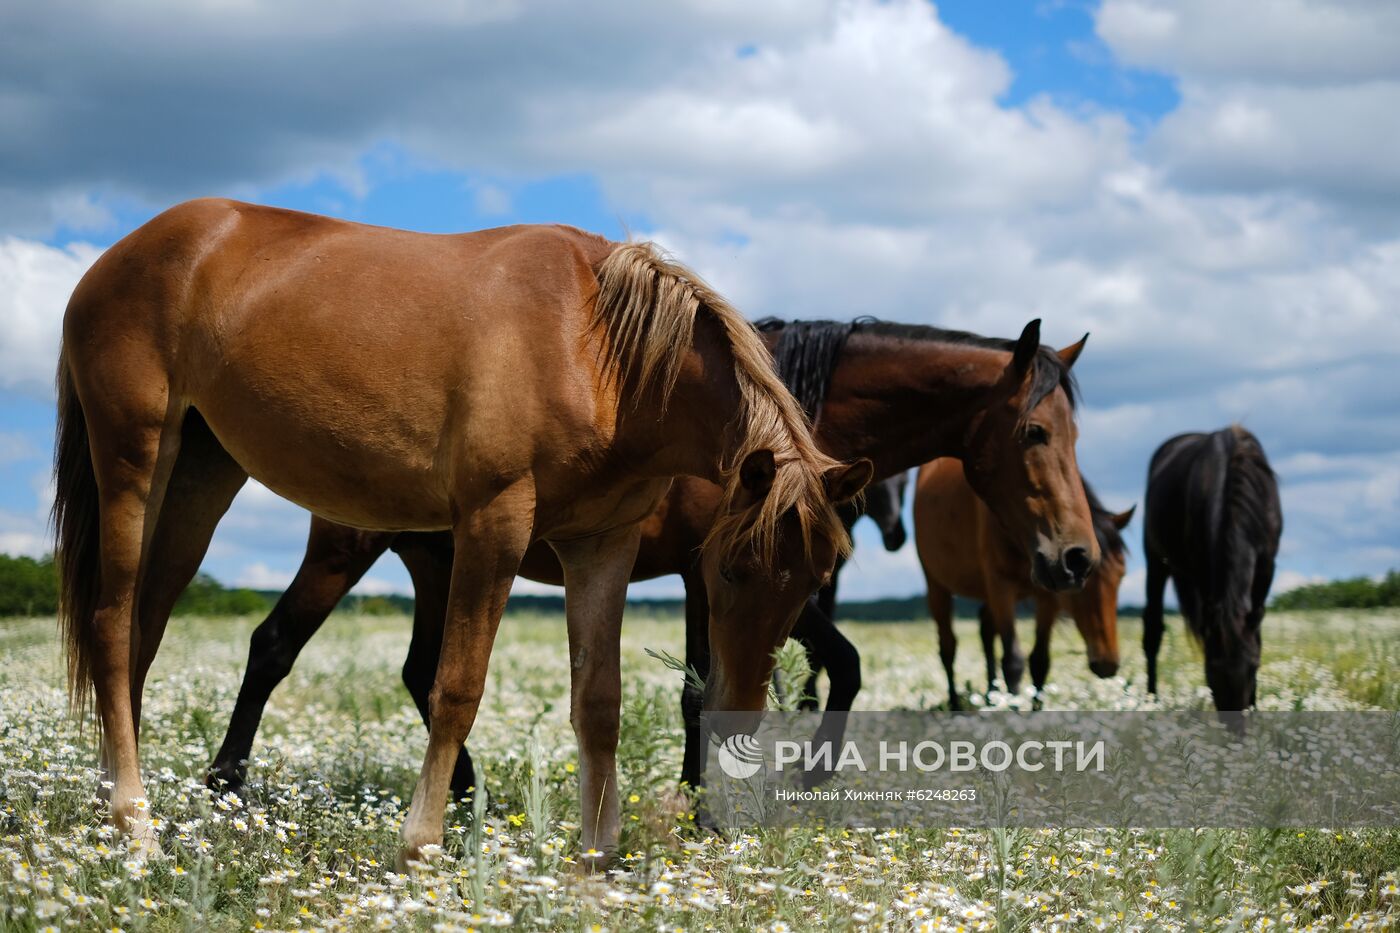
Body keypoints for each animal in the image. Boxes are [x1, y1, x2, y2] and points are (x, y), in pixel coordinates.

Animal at [49, 200, 868, 868]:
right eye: (729, 569)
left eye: (814, 575)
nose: (741, 720)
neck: (597, 346)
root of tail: (120, 255)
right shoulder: (494, 523)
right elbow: (456, 687)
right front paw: (421, 844)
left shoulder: (602, 543)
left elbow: (599, 700)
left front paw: (597, 857)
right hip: (134, 458)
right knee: (112, 622)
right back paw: (135, 824)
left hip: (200, 476)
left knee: (143, 633)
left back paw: (117, 804)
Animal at [210, 316, 1103, 795]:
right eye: (1035, 431)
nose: (1075, 557)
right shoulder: (715, 576)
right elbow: (708, 690)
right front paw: (711, 794)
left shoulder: (776, 583)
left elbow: (832, 664)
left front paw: (791, 779)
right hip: (347, 547)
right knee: (273, 646)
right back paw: (225, 787)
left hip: (436, 563)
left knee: (420, 670)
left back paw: (468, 792)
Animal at [912, 456, 1131, 706]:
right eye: (1085, 580)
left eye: (1121, 575)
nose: (1107, 665)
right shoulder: (1001, 586)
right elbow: (1013, 662)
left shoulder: (1048, 596)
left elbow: (1040, 661)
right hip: (936, 584)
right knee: (948, 647)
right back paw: (956, 703)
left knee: (986, 630)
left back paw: (991, 696)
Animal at [1142, 425, 1282, 708]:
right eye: (1210, 673)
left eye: (1253, 667)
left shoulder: (1266, 568)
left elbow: (1257, 635)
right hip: (1155, 560)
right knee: (1153, 630)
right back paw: (1152, 700)